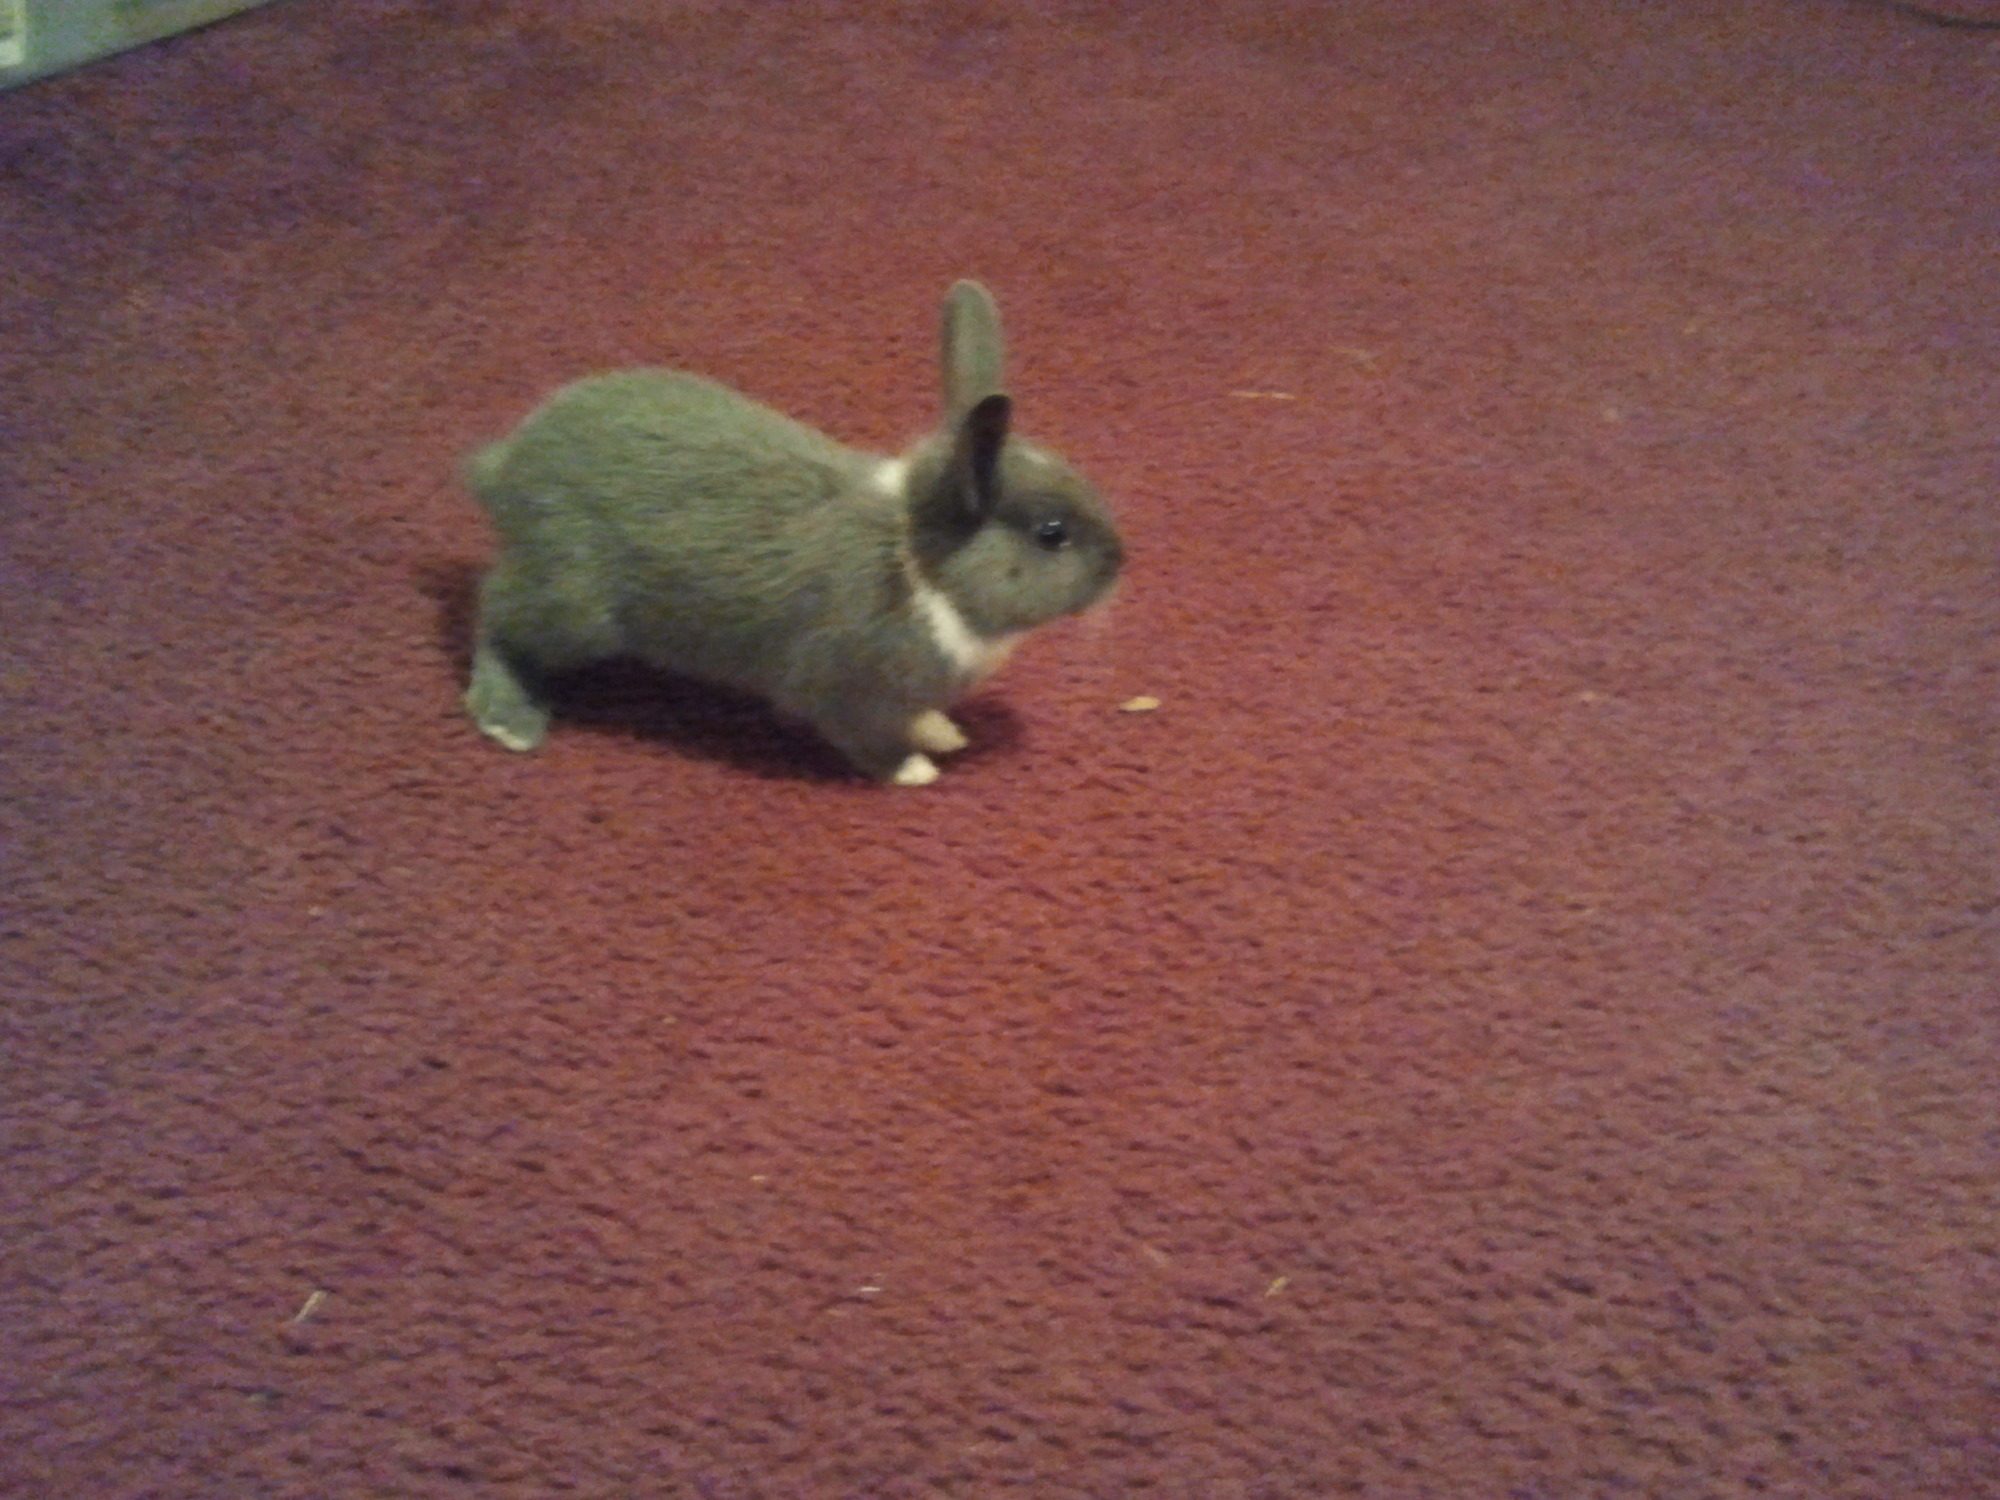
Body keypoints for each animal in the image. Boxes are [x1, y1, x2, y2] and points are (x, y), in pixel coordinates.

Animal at [460, 280, 1124, 785]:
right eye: (1052, 534)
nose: (1120, 563)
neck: (925, 569)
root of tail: (503, 469)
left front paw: (943, 731)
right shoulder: (843, 692)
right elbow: (866, 739)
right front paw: (914, 769)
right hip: (573, 610)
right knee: (495, 617)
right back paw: (509, 719)